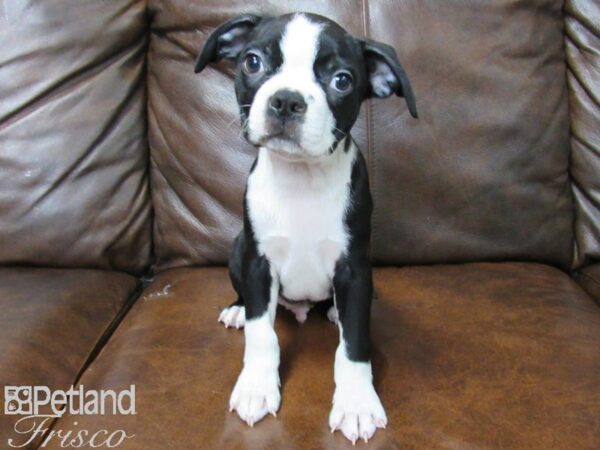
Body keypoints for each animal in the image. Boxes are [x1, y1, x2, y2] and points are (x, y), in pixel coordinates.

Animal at [195, 12, 414, 444]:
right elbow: (262, 335)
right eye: (253, 62)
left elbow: (354, 346)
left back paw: (333, 312)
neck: (302, 179)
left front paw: (357, 403)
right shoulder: (257, 264)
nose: (286, 100)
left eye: (342, 80)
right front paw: (256, 387)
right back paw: (238, 308)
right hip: (238, 248)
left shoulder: (354, 269)